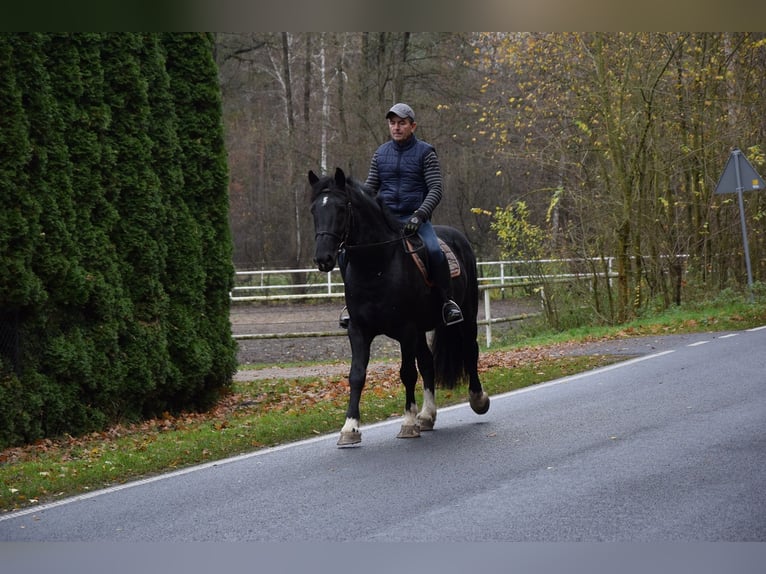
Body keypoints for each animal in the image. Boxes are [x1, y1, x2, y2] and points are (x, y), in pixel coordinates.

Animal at [308, 167, 490, 447]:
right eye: (314, 210)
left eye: (341, 208)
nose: (323, 258)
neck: (376, 267)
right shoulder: (359, 330)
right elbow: (356, 374)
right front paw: (350, 428)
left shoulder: (406, 329)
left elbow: (407, 373)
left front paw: (407, 423)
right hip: (422, 330)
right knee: (427, 363)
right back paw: (427, 415)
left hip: (466, 316)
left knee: (470, 351)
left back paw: (478, 399)